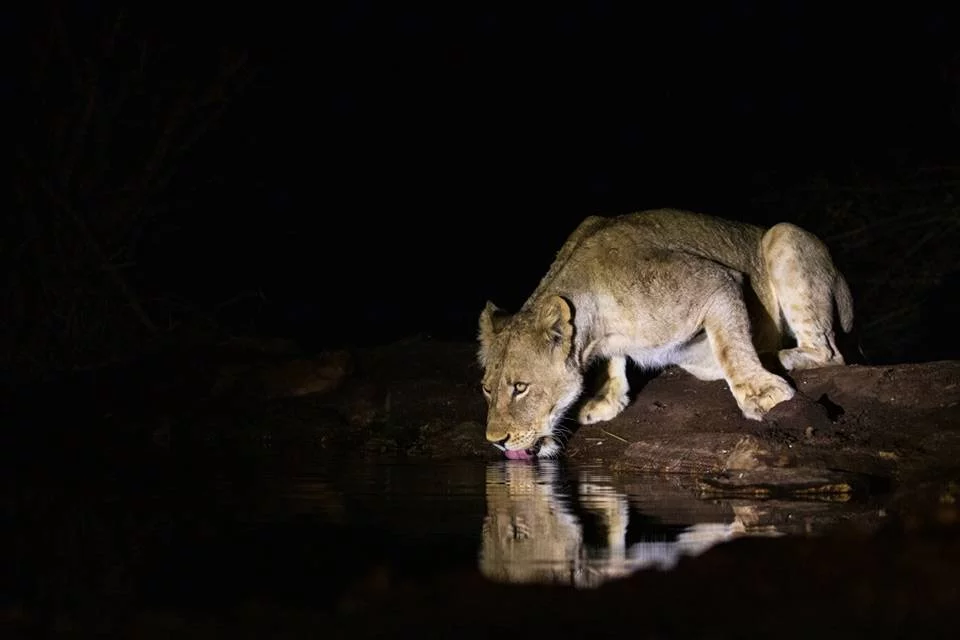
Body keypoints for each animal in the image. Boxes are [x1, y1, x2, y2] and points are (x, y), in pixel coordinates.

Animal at [478, 208, 854, 459]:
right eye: (486, 388)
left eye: (520, 387)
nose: (496, 440)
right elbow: (613, 362)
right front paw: (606, 399)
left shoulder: (717, 282)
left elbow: (732, 348)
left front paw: (761, 393)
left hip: (784, 235)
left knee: (830, 353)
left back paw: (775, 358)